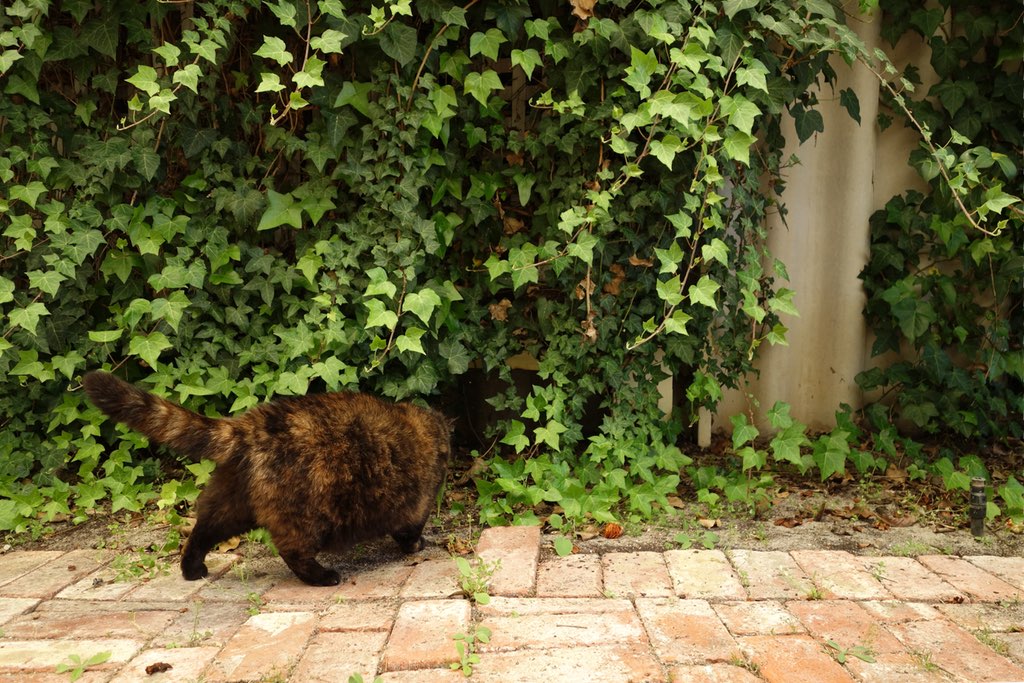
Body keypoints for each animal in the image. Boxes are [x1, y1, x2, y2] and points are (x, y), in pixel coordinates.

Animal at [86, 370, 454, 585]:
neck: (427, 428)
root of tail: (251, 427)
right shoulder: (417, 505)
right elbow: (410, 530)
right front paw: (416, 546)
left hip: (230, 506)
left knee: (201, 533)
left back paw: (192, 569)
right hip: (308, 515)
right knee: (293, 551)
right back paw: (322, 576)